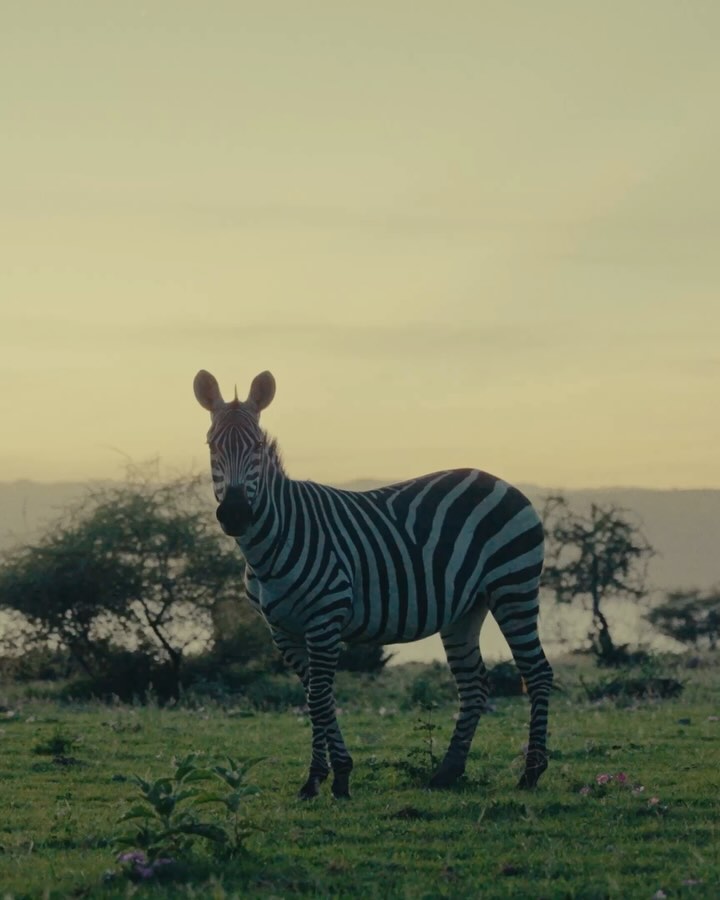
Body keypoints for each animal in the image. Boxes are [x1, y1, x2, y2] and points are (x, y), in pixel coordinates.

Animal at [193, 369, 553, 799]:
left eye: (258, 446)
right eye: (212, 444)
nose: (235, 514)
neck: (272, 543)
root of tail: (501, 482)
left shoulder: (325, 618)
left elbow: (319, 697)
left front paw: (330, 778)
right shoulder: (282, 629)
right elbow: (315, 696)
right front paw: (326, 777)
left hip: (513, 587)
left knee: (537, 673)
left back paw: (531, 773)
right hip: (465, 609)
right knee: (474, 685)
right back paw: (447, 772)